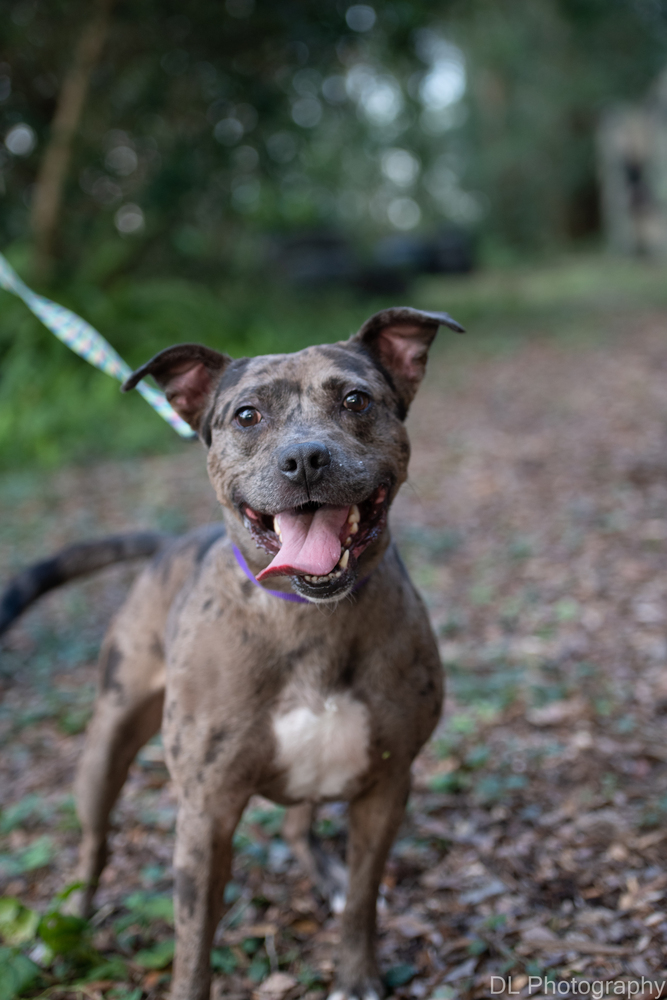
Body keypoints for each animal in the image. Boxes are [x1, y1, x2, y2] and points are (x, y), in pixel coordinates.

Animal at [0, 306, 462, 1000]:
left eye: (356, 400)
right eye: (247, 415)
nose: (305, 458)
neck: (308, 617)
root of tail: (171, 543)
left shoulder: (387, 782)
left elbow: (363, 897)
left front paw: (357, 973)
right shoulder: (207, 811)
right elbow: (194, 940)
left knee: (301, 823)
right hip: (107, 743)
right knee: (94, 845)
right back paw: (69, 929)